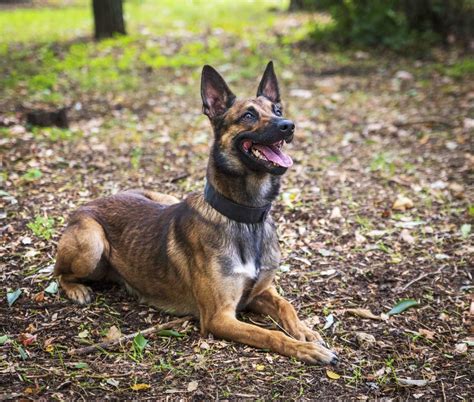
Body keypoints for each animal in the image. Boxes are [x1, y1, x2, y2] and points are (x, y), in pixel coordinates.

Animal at [53, 62, 338, 364]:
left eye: (278, 110)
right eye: (248, 115)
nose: (288, 126)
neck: (245, 218)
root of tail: (87, 204)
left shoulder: (260, 291)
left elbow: (287, 306)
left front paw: (306, 332)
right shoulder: (219, 317)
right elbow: (269, 334)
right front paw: (306, 349)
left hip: (163, 198)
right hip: (91, 244)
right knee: (58, 273)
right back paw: (77, 290)